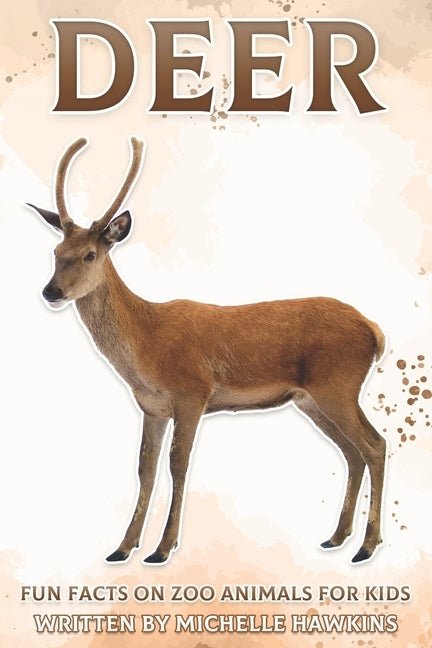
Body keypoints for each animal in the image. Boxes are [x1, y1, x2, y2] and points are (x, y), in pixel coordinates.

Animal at [28, 136, 387, 566]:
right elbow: (145, 468)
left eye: (90, 255)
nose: (51, 291)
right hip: (311, 399)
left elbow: (178, 464)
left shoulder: (192, 393)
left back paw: (366, 546)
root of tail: (375, 331)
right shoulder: (152, 406)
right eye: (55, 252)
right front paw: (122, 547)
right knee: (353, 452)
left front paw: (162, 549)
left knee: (375, 445)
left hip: (338, 386)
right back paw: (336, 537)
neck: (146, 348)